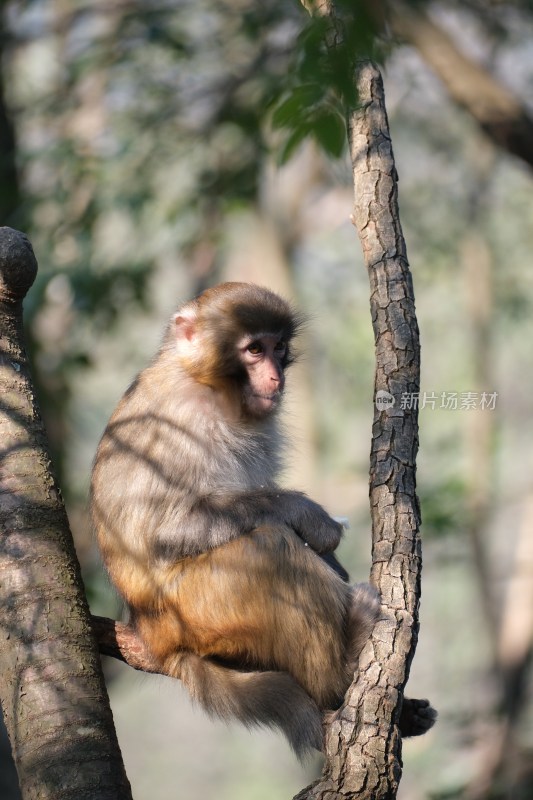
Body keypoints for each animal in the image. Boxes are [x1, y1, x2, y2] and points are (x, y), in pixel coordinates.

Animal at [90, 282, 432, 756]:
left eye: (278, 347)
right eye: (254, 349)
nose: (276, 377)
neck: (210, 388)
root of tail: (152, 635)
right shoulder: (180, 420)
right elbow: (166, 533)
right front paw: (310, 517)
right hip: (195, 609)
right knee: (270, 547)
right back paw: (342, 671)